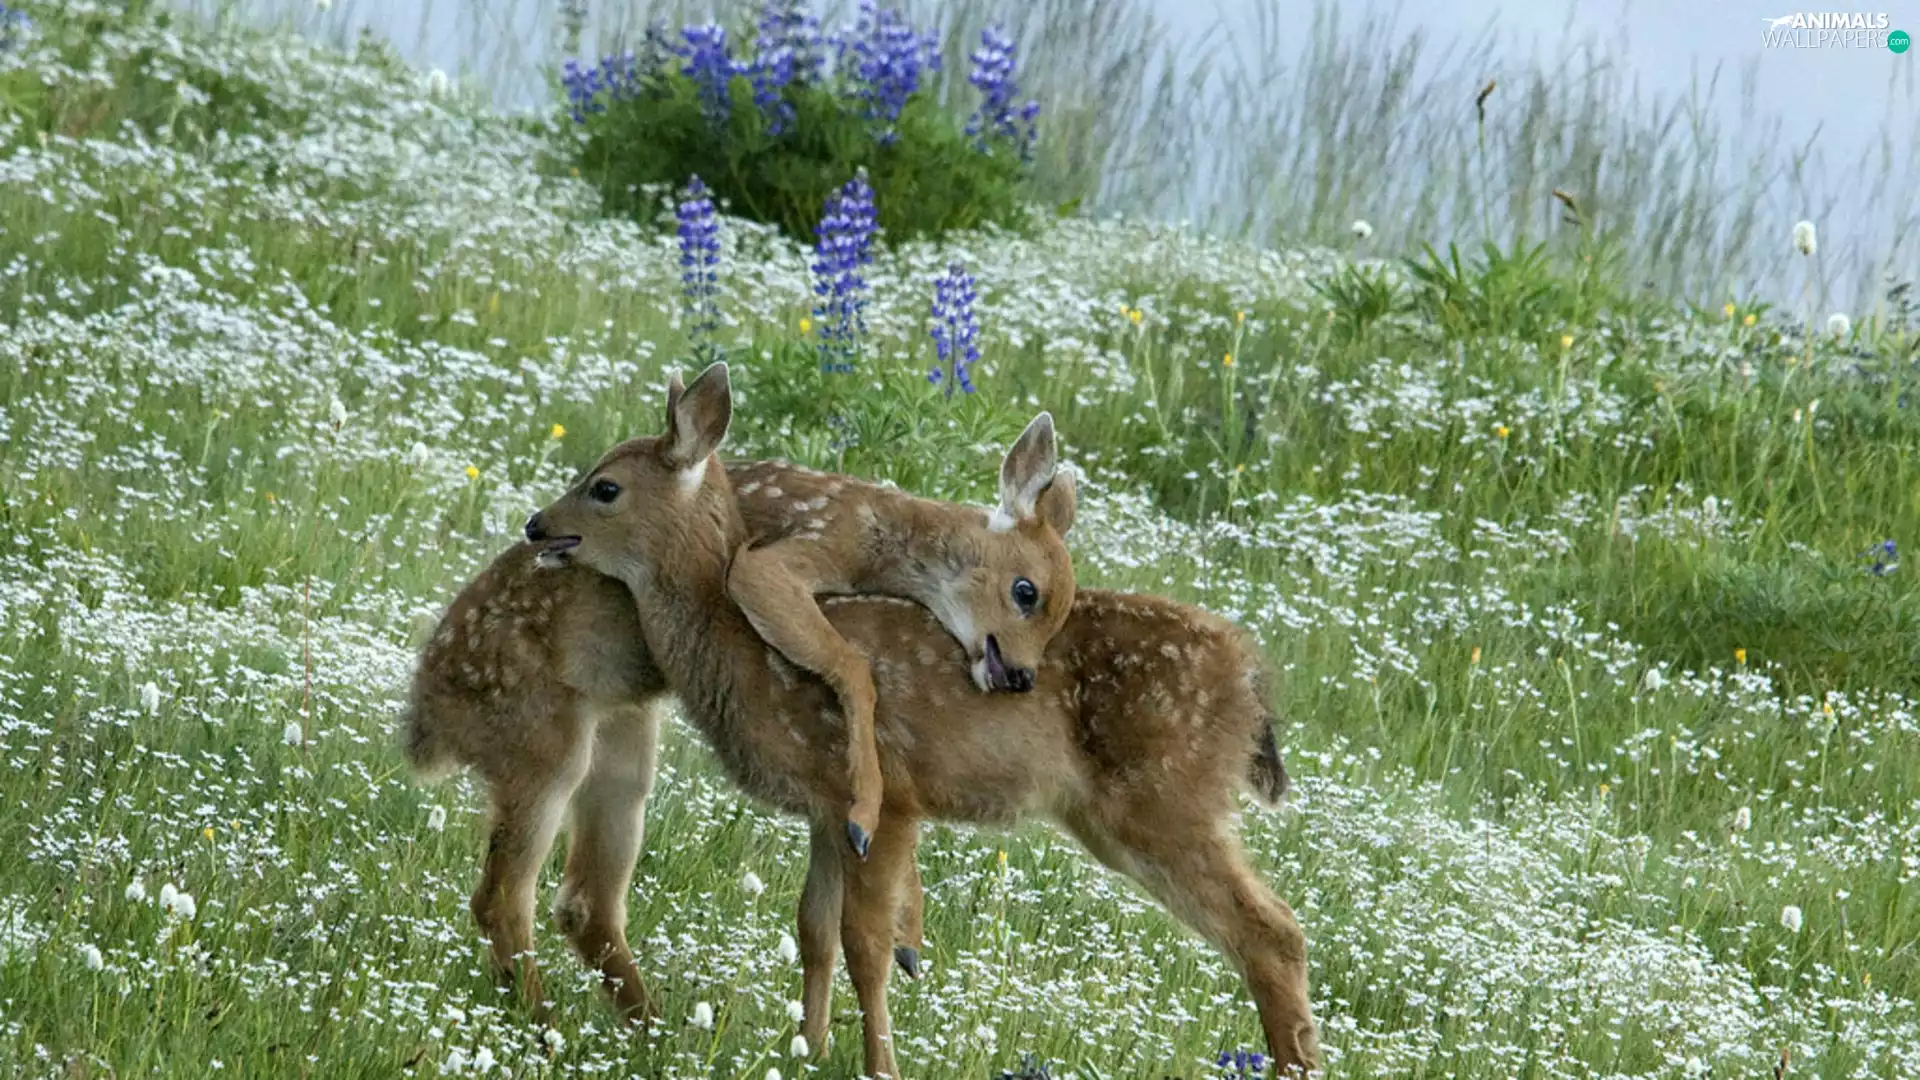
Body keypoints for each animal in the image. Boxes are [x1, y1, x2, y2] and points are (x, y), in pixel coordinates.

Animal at [521, 361, 1321, 1079]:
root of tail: (1254, 682)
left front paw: (878, 1063)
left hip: (1164, 802)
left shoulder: (892, 802)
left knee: (1272, 932)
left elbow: (863, 943)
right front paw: (808, 1050)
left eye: (605, 488)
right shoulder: (826, 811)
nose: (536, 525)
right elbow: (814, 928)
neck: (736, 647)